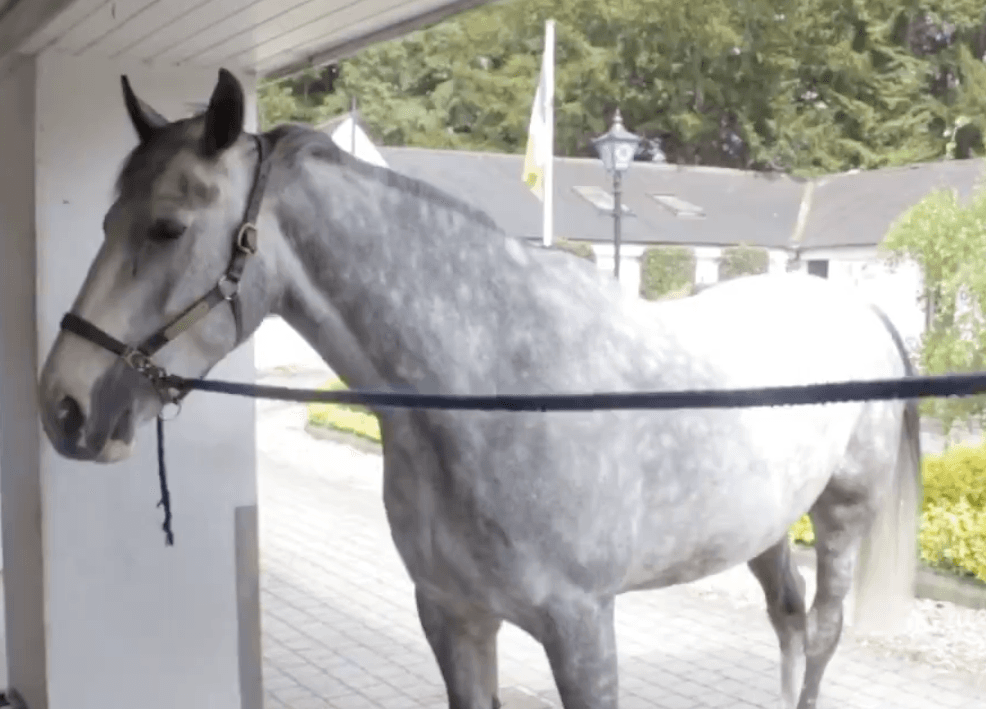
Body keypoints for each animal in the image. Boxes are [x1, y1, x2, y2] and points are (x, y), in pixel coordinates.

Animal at [38, 69, 921, 709]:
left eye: (167, 227)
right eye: (108, 219)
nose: (62, 405)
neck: (493, 388)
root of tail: (858, 307)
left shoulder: (582, 630)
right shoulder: (451, 614)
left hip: (839, 515)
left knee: (823, 630)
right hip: (763, 524)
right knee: (790, 618)